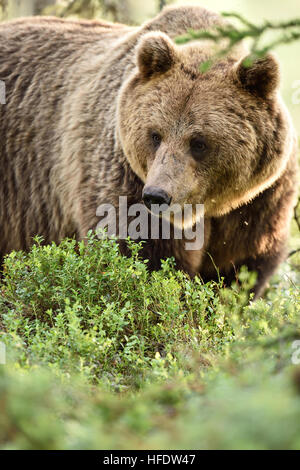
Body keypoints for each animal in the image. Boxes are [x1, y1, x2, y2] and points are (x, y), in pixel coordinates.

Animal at [0, 4, 298, 298]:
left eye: (199, 142)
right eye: (155, 135)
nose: (157, 195)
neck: (208, 206)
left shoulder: (260, 203)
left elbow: (238, 269)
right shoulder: (123, 178)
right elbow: (143, 255)